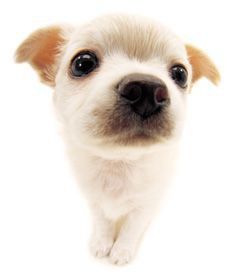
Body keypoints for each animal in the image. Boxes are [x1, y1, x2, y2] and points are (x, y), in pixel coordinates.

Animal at [15, 14, 220, 264]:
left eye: (180, 74)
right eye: (82, 63)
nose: (147, 89)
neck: (119, 162)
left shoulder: (144, 205)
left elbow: (132, 227)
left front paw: (122, 250)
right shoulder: (94, 201)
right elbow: (103, 223)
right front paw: (101, 244)